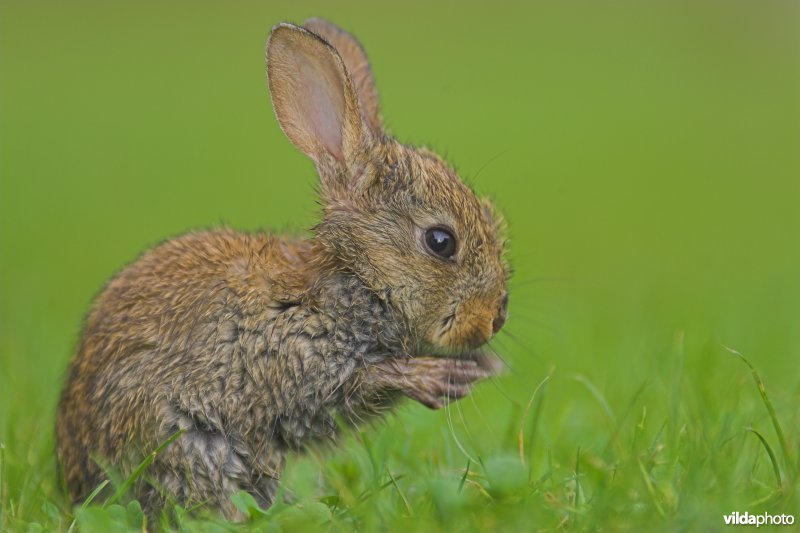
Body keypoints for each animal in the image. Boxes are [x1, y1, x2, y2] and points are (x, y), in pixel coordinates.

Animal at [56, 17, 510, 520]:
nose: (496, 316)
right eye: (441, 242)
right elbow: (362, 380)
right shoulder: (294, 360)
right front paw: (440, 377)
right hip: (188, 440)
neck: (353, 280)